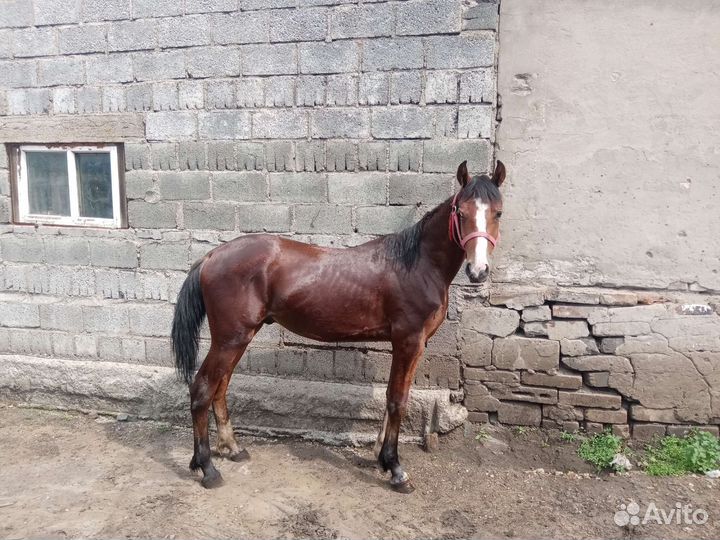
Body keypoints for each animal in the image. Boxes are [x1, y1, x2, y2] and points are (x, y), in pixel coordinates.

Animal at [171, 160, 506, 492]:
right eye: (460, 212)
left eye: (498, 212)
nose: (478, 271)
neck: (417, 265)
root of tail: (211, 256)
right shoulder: (408, 341)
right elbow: (398, 401)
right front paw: (396, 469)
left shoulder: (410, 344)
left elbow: (391, 395)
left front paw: (380, 458)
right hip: (230, 339)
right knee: (202, 389)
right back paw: (207, 468)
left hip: (239, 337)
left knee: (220, 387)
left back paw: (232, 448)